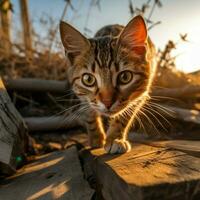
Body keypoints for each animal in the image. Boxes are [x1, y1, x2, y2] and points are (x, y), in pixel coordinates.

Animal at [59, 15, 156, 153]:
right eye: (88, 79)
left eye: (125, 77)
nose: (107, 102)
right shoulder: (84, 98)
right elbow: (89, 114)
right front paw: (96, 138)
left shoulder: (140, 95)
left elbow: (124, 116)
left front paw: (115, 139)